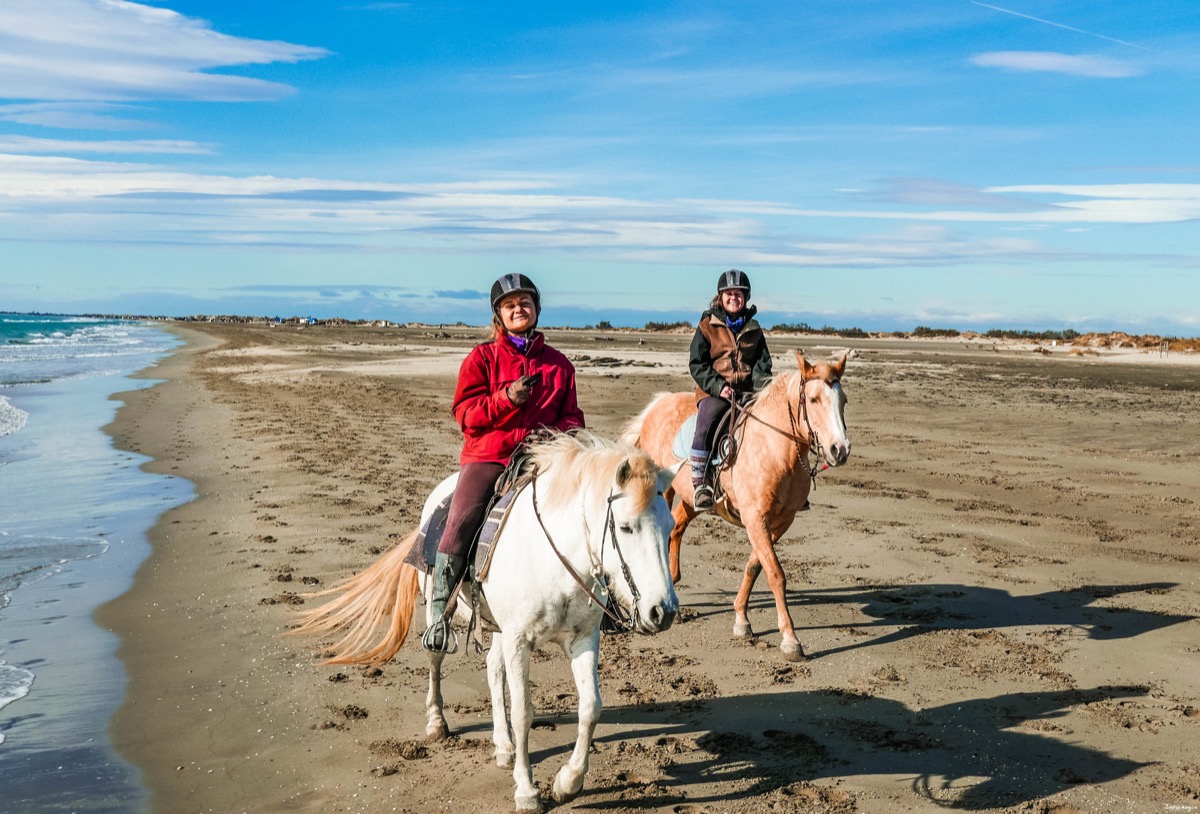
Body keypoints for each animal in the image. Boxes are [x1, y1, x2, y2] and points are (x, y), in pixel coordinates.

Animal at [290, 429, 681, 811]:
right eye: (626, 528)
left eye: (669, 527)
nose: (663, 611)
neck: (554, 557)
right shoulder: (520, 639)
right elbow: (523, 711)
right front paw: (527, 791)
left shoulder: (582, 638)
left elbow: (590, 707)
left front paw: (567, 782)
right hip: (443, 612)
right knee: (435, 657)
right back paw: (437, 723)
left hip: (498, 626)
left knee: (494, 669)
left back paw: (504, 745)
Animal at [624, 352, 849, 662]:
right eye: (814, 400)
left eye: (844, 401)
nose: (840, 450)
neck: (776, 448)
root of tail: (660, 402)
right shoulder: (755, 519)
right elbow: (775, 574)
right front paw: (790, 640)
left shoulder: (779, 522)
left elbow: (755, 566)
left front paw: (742, 620)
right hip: (662, 488)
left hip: (692, 499)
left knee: (676, 528)